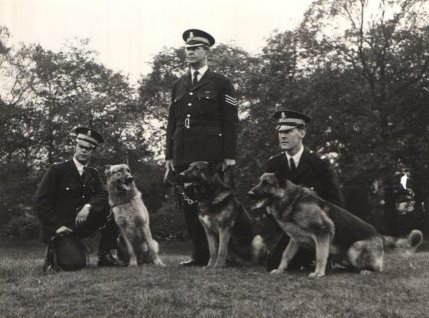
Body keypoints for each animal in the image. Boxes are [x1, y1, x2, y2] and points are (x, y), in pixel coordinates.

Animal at [247, 173, 422, 278]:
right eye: (258, 182)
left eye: (267, 183)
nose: (249, 193)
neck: (291, 201)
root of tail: (380, 235)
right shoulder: (295, 239)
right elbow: (286, 255)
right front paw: (280, 270)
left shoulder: (322, 233)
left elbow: (320, 255)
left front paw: (318, 273)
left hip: (354, 249)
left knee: (378, 268)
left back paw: (366, 270)